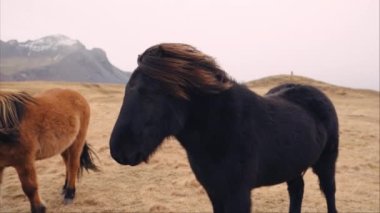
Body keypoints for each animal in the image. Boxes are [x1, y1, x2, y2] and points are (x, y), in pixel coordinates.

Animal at [109, 43, 338, 213]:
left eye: (150, 93)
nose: (119, 151)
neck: (222, 131)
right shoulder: (215, 192)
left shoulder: (238, 195)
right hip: (293, 164)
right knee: (297, 190)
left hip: (326, 163)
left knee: (329, 192)